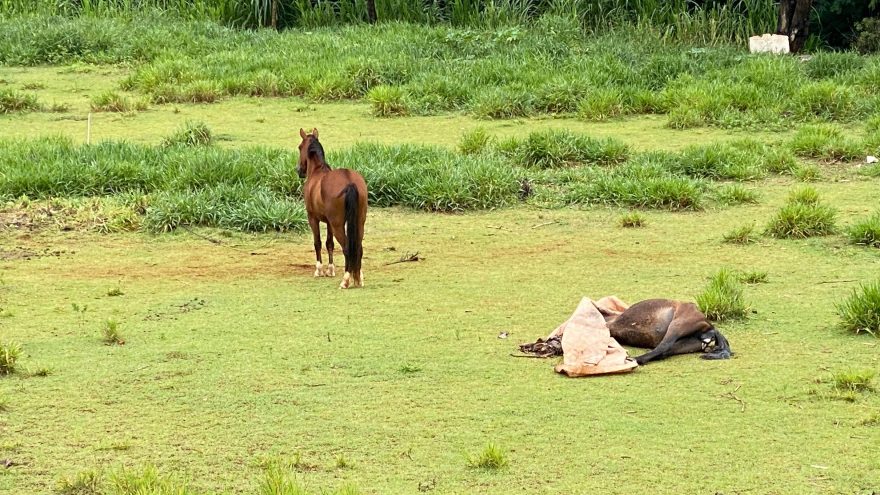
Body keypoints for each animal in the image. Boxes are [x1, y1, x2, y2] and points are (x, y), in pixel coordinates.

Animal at [297, 128, 368, 289]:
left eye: (299, 147)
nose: (299, 170)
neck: (317, 171)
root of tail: (349, 181)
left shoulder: (312, 218)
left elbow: (317, 242)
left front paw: (319, 270)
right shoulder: (328, 222)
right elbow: (329, 243)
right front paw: (330, 269)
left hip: (337, 225)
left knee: (347, 248)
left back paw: (345, 280)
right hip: (359, 222)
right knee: (358, 248)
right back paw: (358, 278)